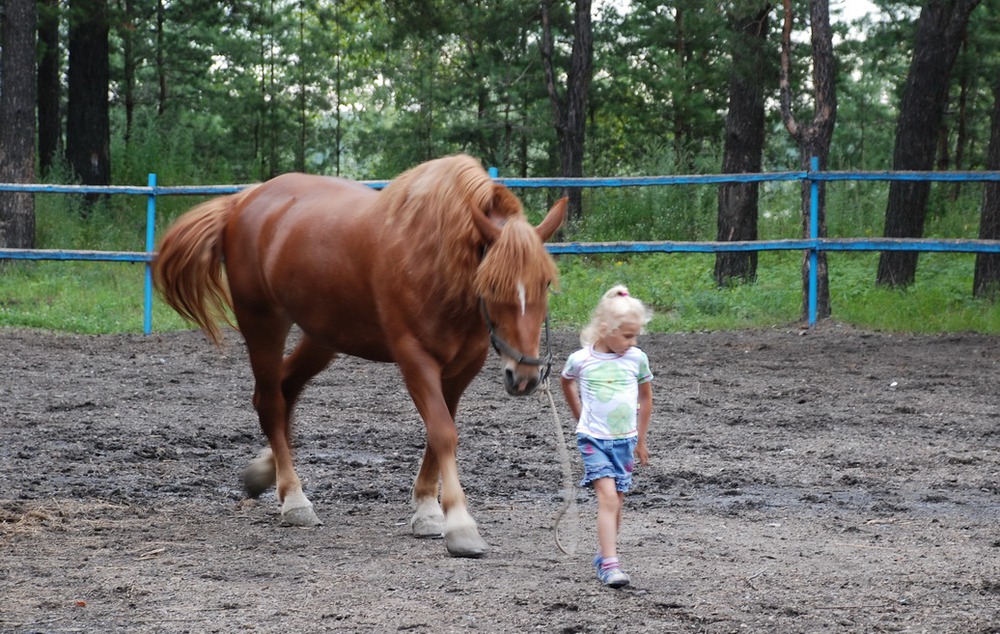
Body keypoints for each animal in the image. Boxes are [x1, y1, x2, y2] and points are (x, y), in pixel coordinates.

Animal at [152, 156, 568, 556]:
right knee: (271, 400)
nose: (524, 377)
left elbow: (440, 432)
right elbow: (443, 432)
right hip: (263, 322)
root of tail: (242, 201)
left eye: (546, 282)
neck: (436, 259)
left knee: (285, 389)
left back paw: (266, 473)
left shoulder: (462, 367)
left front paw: (427, 509)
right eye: (492, 285)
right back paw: (294, 499)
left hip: (323, 336)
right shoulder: (415, 360)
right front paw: (460, 526)